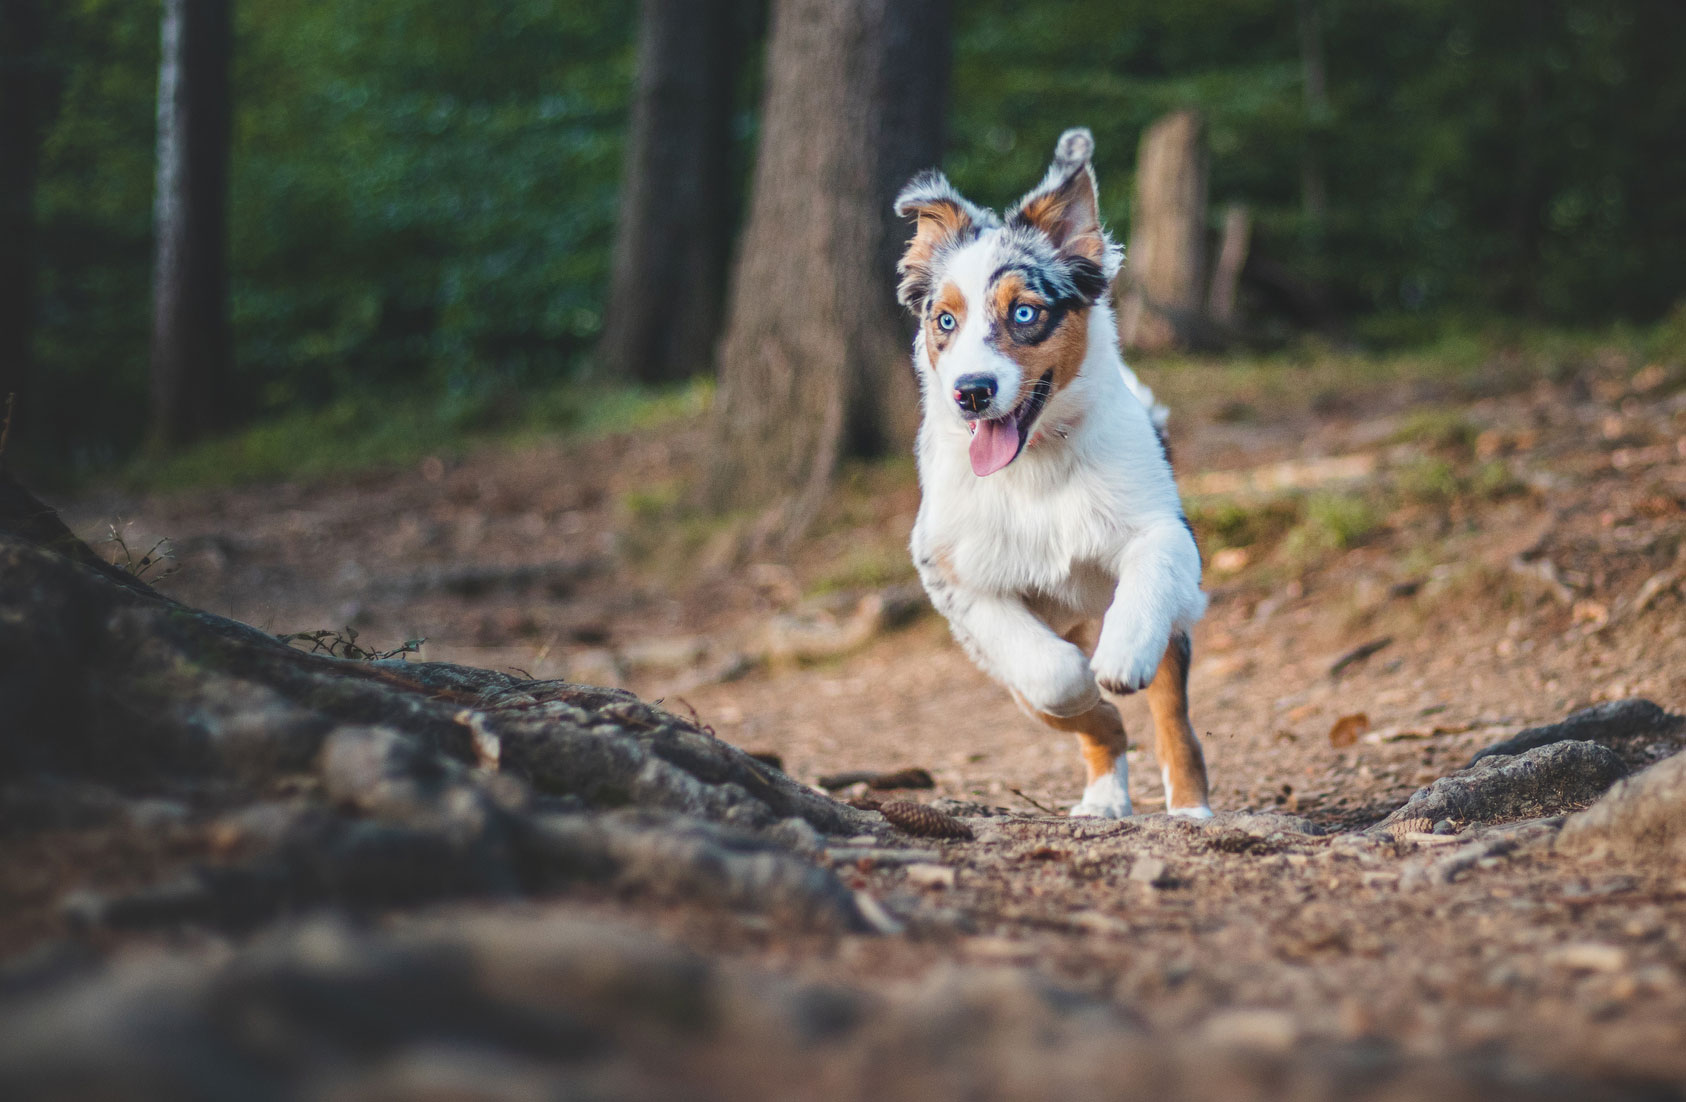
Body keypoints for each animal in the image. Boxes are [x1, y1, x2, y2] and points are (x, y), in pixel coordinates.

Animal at [896, 127, 1213, 818]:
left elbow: (1146, 579)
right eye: (944, 320)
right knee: (1080, 716)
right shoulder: (954, 578)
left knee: (1173, 717)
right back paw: (1102, 796)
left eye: (1024, 313)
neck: (1036, 468)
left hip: (1174, 631)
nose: (971, 392)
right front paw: (1087, 691)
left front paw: (1118, 659)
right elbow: (1054, 675)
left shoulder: (1166, 530)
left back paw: (1190, 808)